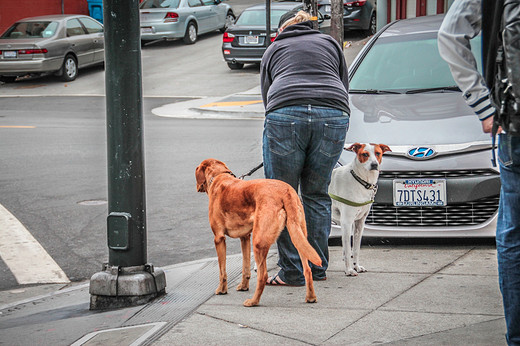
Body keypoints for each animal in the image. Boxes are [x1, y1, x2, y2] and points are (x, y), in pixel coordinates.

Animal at [197, 158, 322, 306]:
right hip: (298, 235)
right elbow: (245, 267)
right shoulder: (245, 237)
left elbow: (222, 271)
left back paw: (253, 301)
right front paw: (243, 286)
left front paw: (221, 290)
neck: (219, 177)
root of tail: (286, 191)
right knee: (307, 269)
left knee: (263, 276)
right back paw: (311, 297)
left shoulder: (219, 238)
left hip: (258, 242)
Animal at [330, 143, 390, 276]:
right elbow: (348, 250)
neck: (360, 180)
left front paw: (356, 267)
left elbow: (356, 249)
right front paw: (349, 270)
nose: (374, 164)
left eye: (378, 153)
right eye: (365, 154)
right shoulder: (346, 222)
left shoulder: (359, 223)